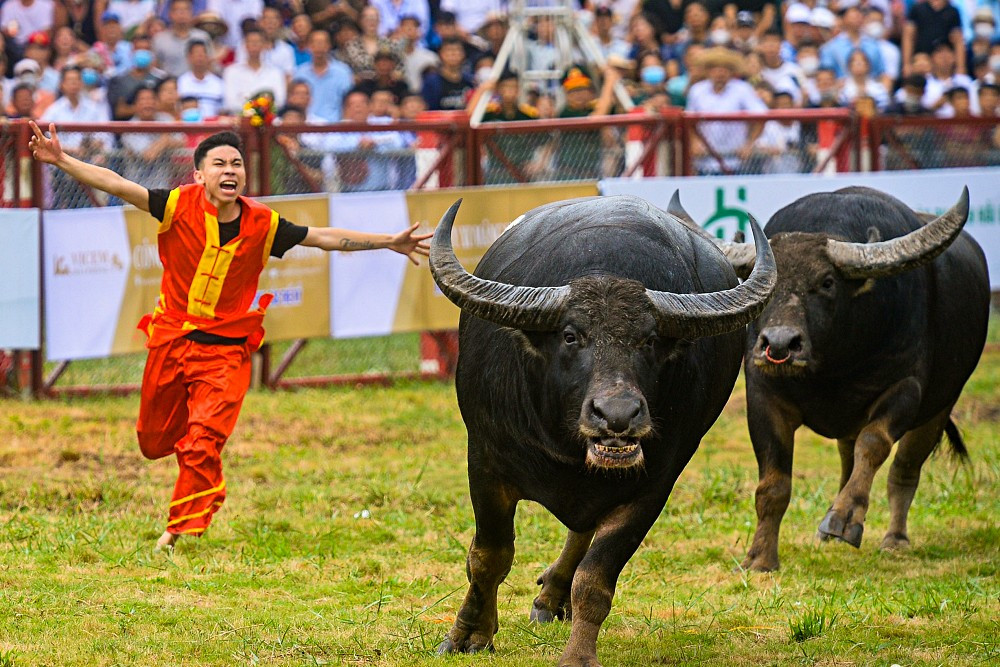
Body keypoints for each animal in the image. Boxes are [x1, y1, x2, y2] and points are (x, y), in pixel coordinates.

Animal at [426, 197, 776, 667]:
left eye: (650, 340)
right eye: (571, 336)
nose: (617, 415)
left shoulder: (651, 488)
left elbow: (595, 579)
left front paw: (577, 654)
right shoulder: (484, 461)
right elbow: (488, 557)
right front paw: (468, 636)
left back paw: (552, 596)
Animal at [676, 185, 988, 572]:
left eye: (826, 282)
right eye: (765, 288)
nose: (779, 345)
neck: (831, 368)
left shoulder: (905, 389)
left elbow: (874, 445)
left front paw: (844, 519)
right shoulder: (764, 398)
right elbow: (773, 484)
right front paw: (760, 557)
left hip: (940, 406)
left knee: (904, 469)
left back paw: (893, 539)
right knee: (847, 460)